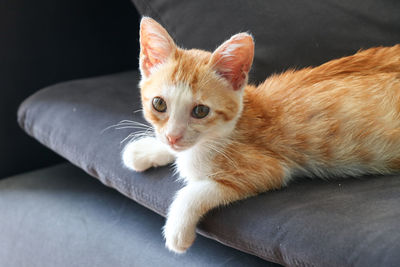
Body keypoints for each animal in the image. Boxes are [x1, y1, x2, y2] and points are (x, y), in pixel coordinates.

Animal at [122, 17, 400, 254]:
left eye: (200, 111)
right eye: (159, 104)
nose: (173, 137)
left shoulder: (269, 170)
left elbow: (198, 190)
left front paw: (177, 228)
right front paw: (145, 150)